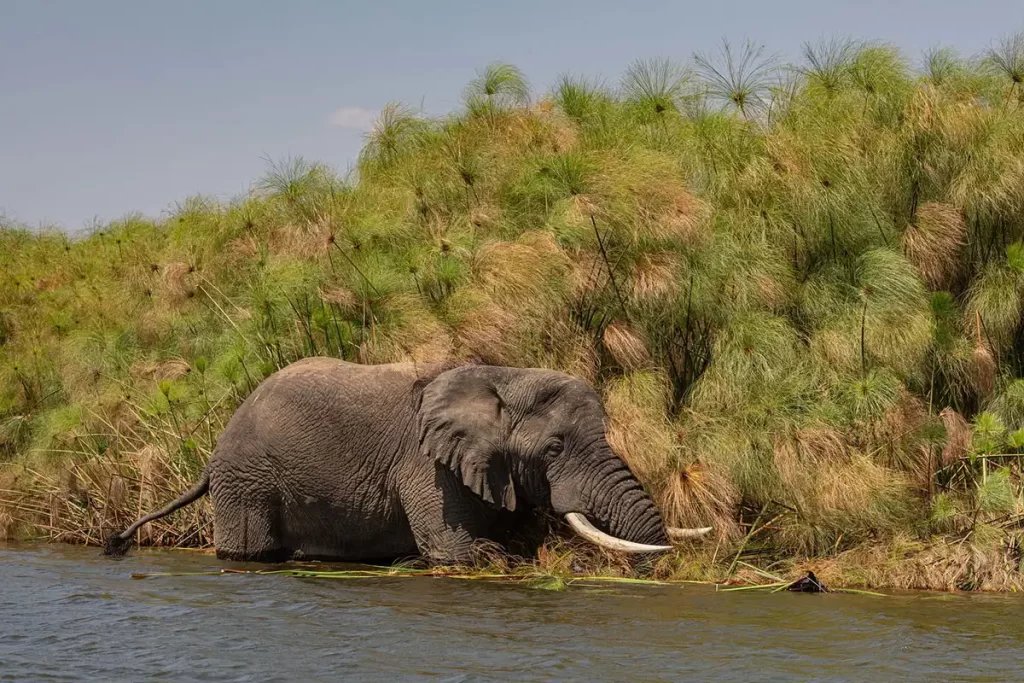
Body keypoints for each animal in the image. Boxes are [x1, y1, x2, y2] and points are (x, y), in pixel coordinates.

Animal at [104, 358, 711, 563]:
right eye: (555, 447)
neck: (502, 375)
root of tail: (213, 455)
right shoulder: (427, 467)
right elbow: (458, 551)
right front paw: (490, 557)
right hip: (247, 480)